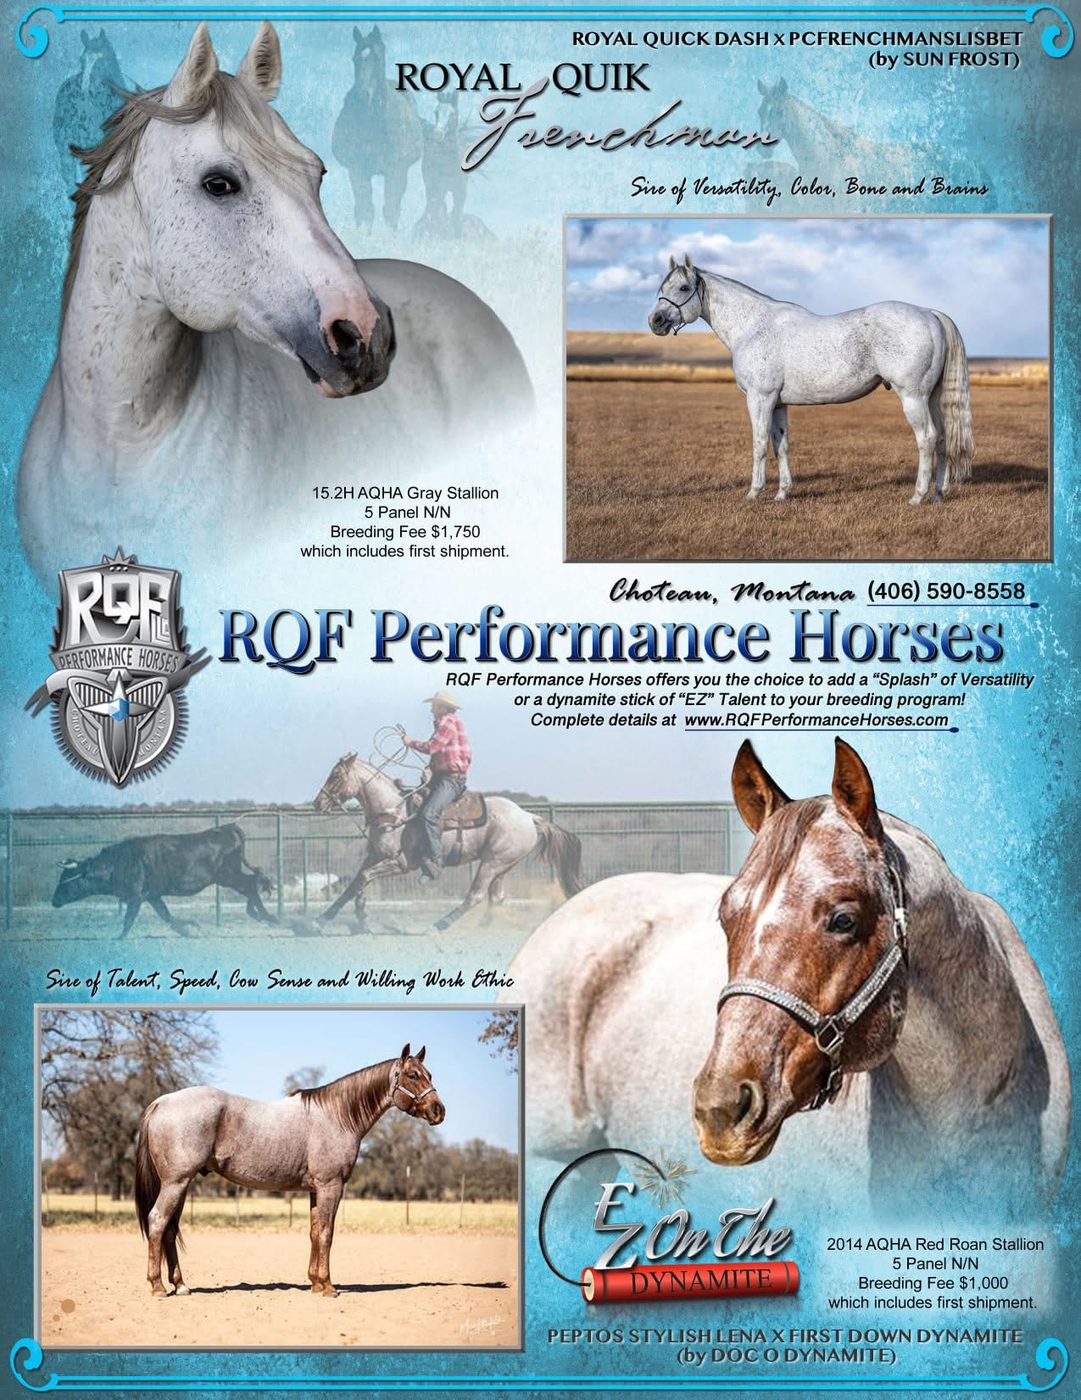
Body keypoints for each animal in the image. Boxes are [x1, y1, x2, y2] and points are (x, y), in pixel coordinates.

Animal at [135, 1044, 444, 1297]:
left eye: (429, 1073)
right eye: (413, 1075)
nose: (438, 1110)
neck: (337, 1116)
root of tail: (161, 1102)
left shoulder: (315, 1190)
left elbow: (314, 1231)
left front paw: (315, 1283)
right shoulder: (331, 1186)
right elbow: (327, 1233)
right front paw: (328, 1287)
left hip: (180, 1184)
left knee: (170, 1229)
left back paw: (180, 1285)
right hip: (176, 1182)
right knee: (158, 1221)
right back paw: (158, 1286)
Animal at [313, 753, 583, 932]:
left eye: (336, 775)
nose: (318, 803)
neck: (394, 811)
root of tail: (528, 816)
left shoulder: (401, 863)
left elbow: (364, 878)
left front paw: (360, 917)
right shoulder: (375, 856)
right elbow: (354, 884)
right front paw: (325, 919)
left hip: (492, 863)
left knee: (475, 896)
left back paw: (439, 925)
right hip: (502, 866)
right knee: (496, 897)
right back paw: (485, 927)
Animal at [331, 26, 423, 231]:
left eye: (378, 58)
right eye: (355, 59)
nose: (362, 94)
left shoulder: (396, 170)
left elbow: (390, 209)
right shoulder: (357, 168)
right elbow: (365, 210)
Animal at [648, 254, 974, 505]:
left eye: (683, 287)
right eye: (661, 288)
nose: (655, 321)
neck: (752, 326)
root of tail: (928, 313)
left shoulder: (760, 398)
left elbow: (759, 443)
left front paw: (754, 493)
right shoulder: (778, 403)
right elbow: (780, 445)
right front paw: (782, 493)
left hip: (912, 397)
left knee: (926, 438)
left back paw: (917, 496)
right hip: (931, 397)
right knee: (942, 437)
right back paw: (938, 494)